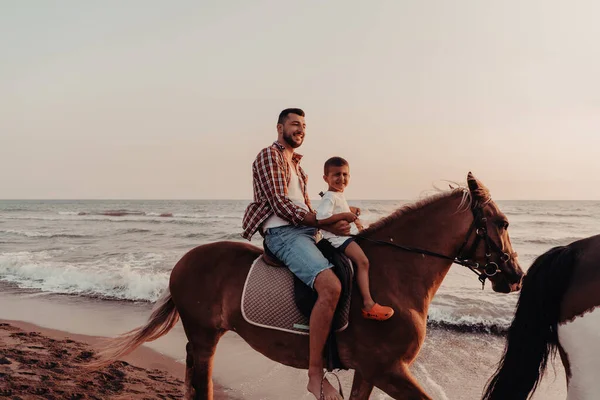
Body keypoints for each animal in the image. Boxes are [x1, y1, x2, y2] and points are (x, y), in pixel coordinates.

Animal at [91, 173, 524, 400]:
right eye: (502, 223)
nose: (516, 276)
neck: (395, 275)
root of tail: (185, 261)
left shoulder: (370, 371)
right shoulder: (389, 370)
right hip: (204, 335)